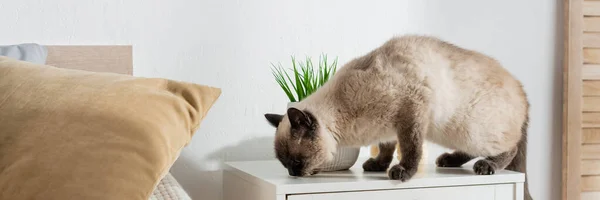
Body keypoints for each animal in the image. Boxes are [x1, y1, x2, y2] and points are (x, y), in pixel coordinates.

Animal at [264, 35, 532, 199]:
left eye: (296, 162)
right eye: (285, 164)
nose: (293, 175)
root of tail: (520, 86)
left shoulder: (410, 114)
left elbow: (410, 148)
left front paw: (401, 171)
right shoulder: (387, 128)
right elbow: (386, 149)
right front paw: (377, 166)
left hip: (471, 132)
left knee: (510, 148)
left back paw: (487, 166)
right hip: (454, 133)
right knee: (470, 150)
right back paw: (448, 160)